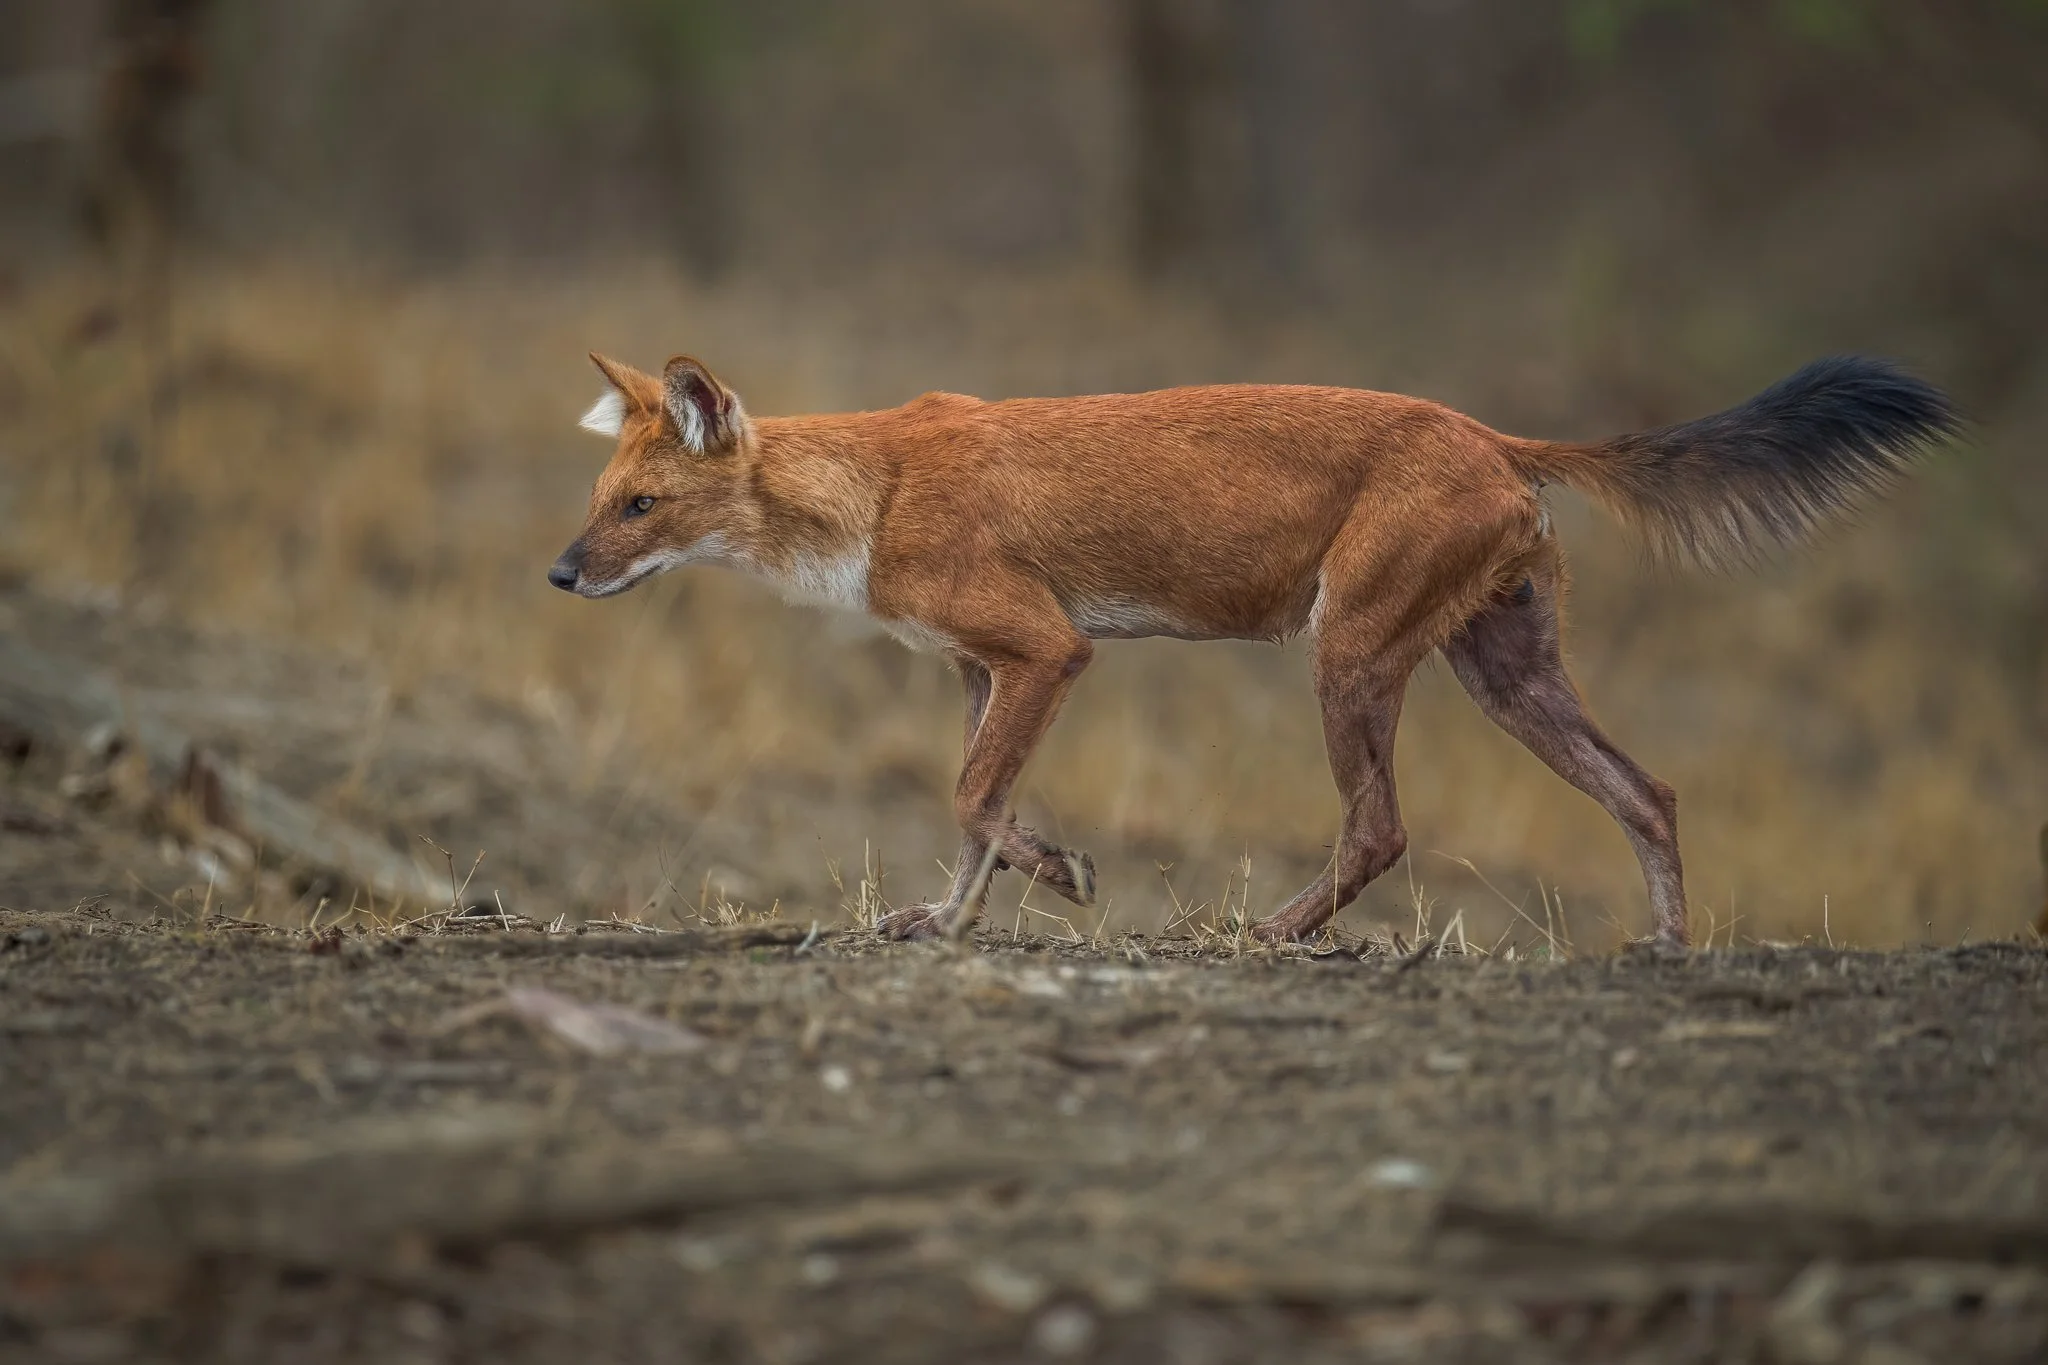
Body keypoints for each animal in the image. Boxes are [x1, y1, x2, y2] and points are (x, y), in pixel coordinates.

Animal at [550, 352, 1956, 948]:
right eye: (599, 497)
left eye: (640, 507)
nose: (559, 575)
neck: (871, 492)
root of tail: (1492, 433)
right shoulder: (975, 667)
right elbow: (967, 817)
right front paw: (946, 919)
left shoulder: (1045, 651)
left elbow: (970, 799)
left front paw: (1062, 874)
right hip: (1503, 674)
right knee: (1648, 791)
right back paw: (1663, 951)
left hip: (1348, 651)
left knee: (1381, 826)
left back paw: (1268, 933)